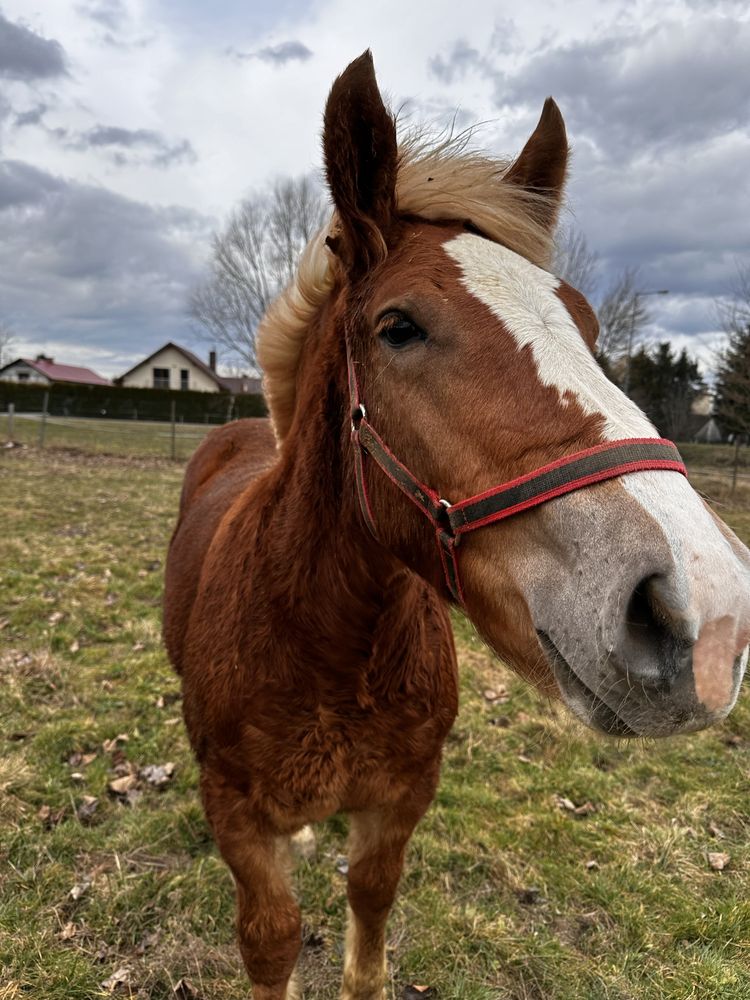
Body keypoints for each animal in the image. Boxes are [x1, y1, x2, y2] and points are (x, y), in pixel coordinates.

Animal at [163, 52, 750, 1000]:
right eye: (398, 327)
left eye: (588, 326)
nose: (709, 611)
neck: (327, 650)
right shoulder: (238, 819)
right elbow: (273, 940)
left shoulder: (401, 800)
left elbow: (369, 922)